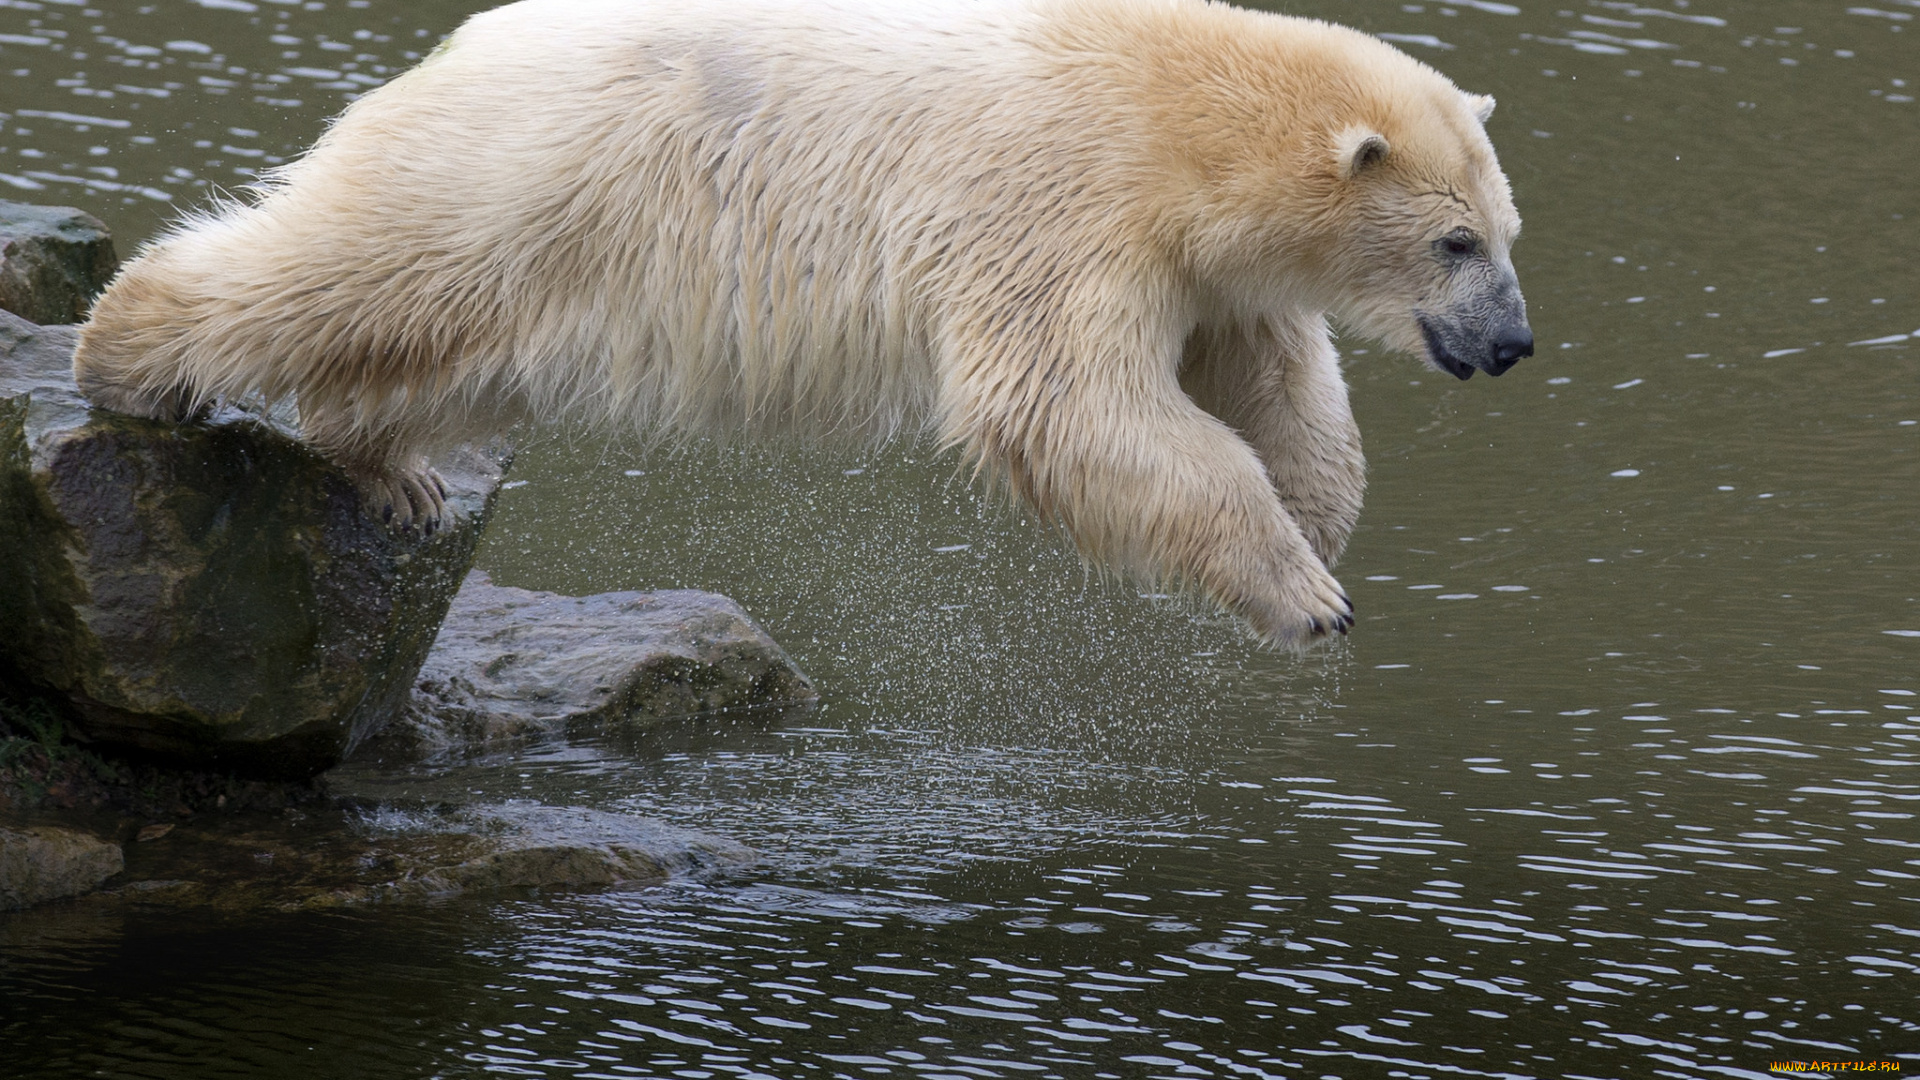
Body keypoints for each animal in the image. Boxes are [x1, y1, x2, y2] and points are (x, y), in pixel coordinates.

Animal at [74, 0, 1528, 641]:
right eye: (1456, 241)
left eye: (1508, 234)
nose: (1511, 343)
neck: (1168, 101)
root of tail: (460, 48)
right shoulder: (1060, 202)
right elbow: (1065, 404)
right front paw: (1305, 594)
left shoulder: (1196, 261)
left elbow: (1268, 376)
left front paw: (1319, 527)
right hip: (526, 176)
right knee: (356, 266)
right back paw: (125, 350)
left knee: (440, 349)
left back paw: (396, 470)